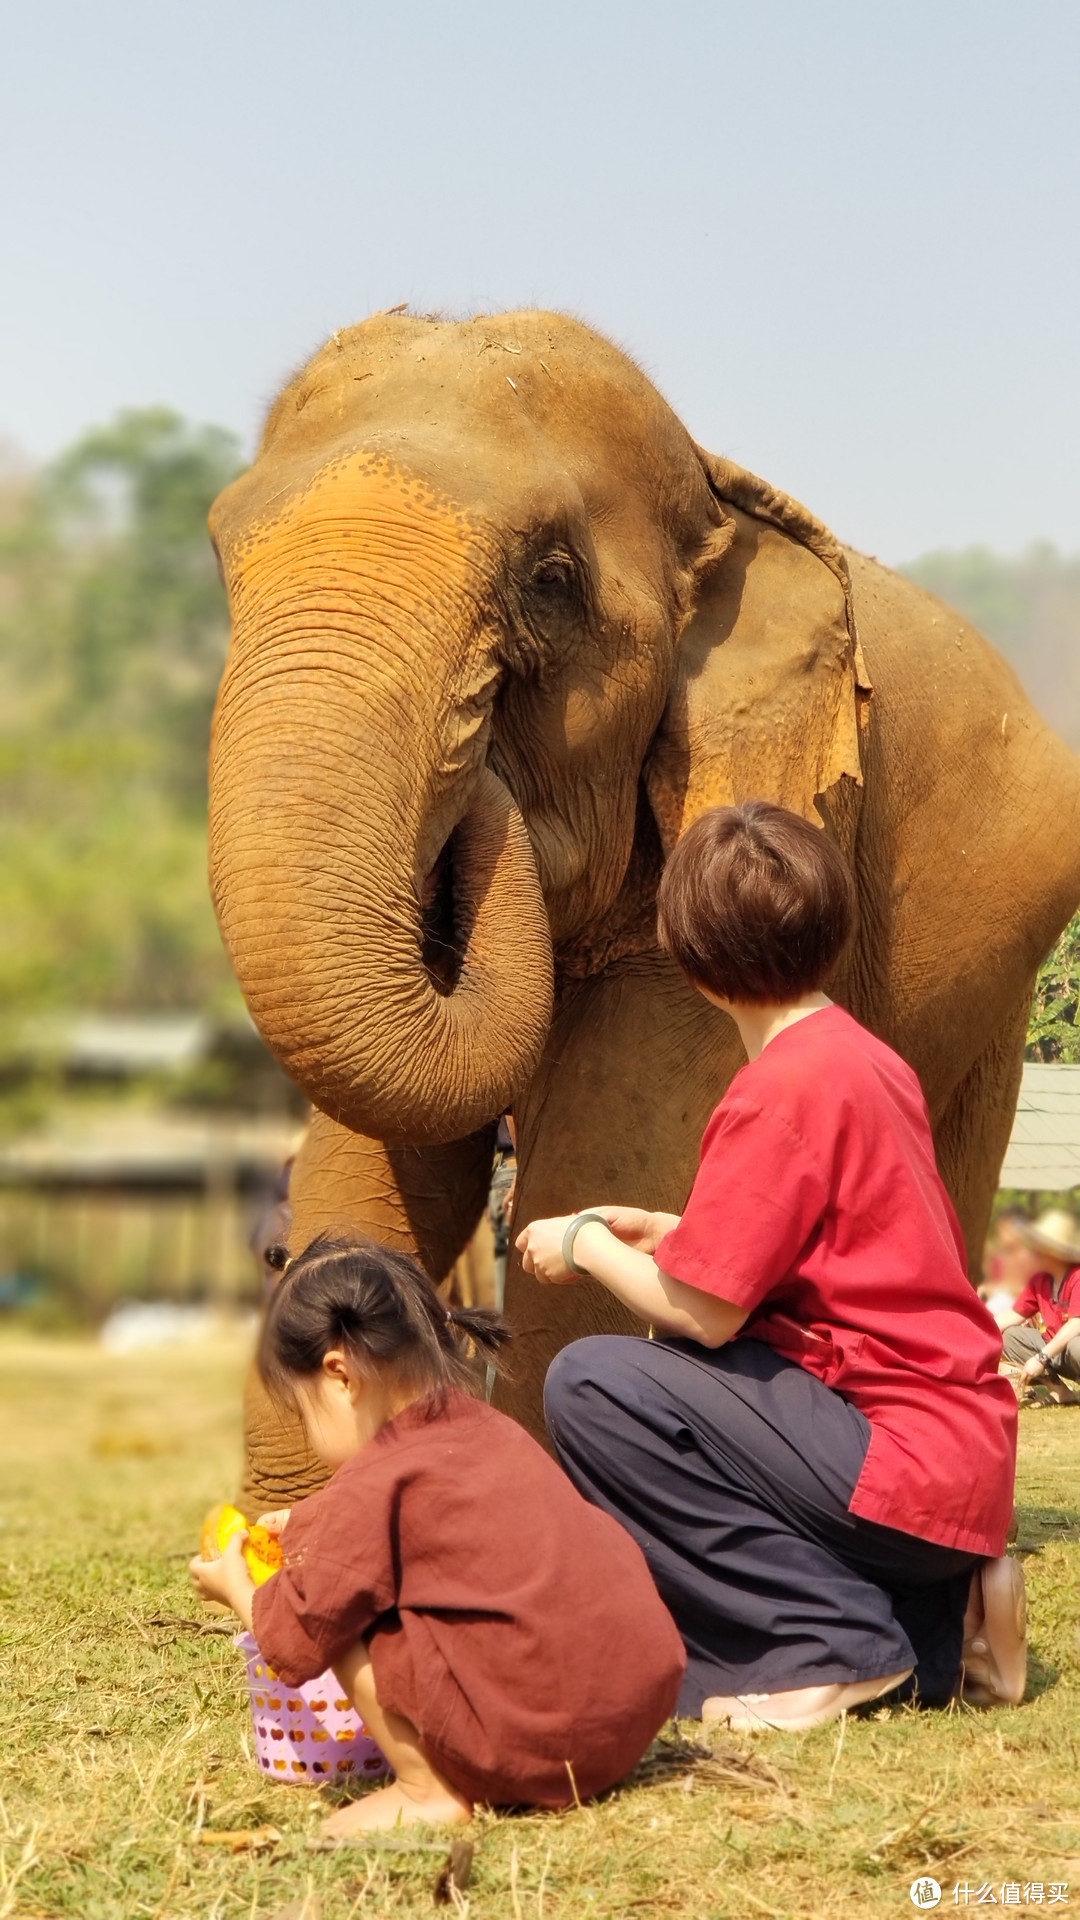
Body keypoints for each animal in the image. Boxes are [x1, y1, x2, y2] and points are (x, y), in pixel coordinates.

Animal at [208, 311, 1076, 1512]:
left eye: (551, 579)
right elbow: (382, 1155)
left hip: (998, 984)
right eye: (220, 559)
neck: (714, 503)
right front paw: (293, 1523)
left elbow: (601, 1167)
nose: (482, 786)